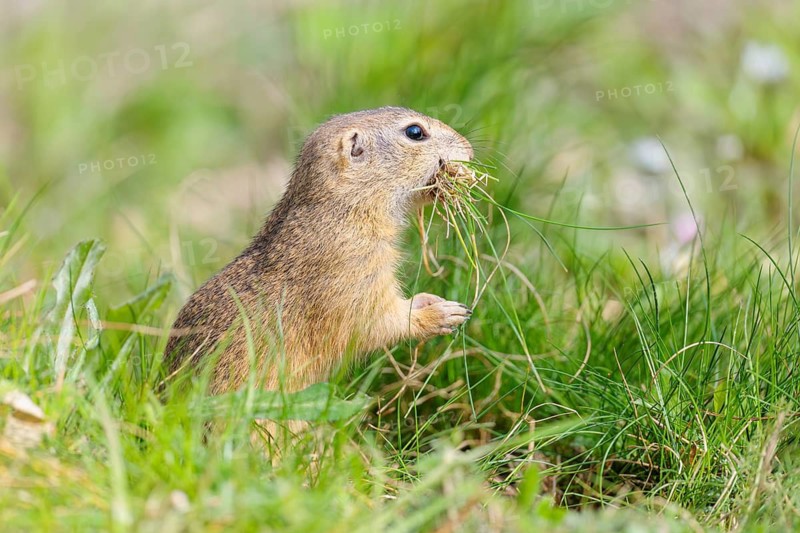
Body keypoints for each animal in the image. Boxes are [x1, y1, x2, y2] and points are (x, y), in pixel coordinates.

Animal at [165, 107, 474, 394]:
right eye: (415, 132)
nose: (469, 150)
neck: (343, 208)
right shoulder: (350, 272)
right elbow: (376, 322)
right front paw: (446, 313)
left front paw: (430, 299)